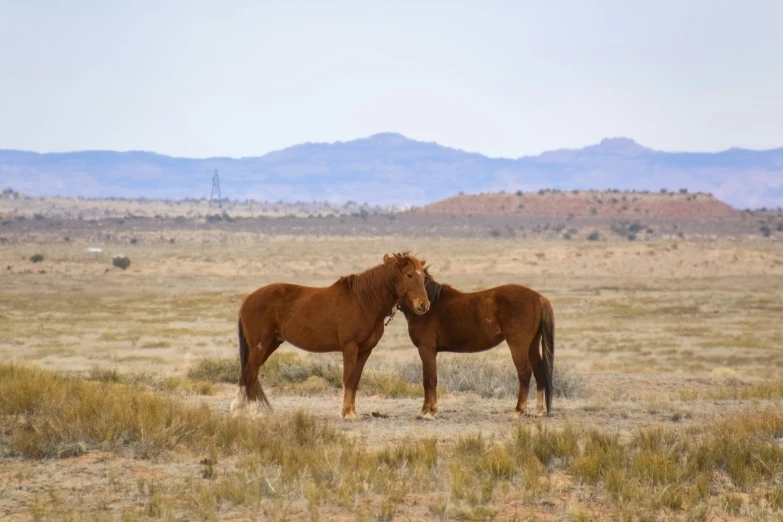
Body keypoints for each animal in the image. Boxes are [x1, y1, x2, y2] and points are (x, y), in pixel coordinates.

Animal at [230, 250, 432, 416]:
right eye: (409, 275)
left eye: (423, 276)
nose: (424, 305)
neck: (363, 302)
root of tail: (248, 299)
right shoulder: (350, 347)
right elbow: (348, 379)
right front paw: (348, 413)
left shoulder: (365, 350)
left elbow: (355, 380)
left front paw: (352, 411)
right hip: (260, 345)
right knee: (250, 372)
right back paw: (252, 411)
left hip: (271, 344)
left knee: (247, 372)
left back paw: (239, 408)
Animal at [402, 268, 556, 418]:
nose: (422, 306)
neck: (431, 303)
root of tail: (538, 297)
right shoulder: (426, 351)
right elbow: (425, 379)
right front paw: (423, 411)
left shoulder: (427, 350)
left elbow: (430, 379)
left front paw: (430, 412)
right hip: (532, 345)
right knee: (538, 371)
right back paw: (538, 410)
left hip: (518, 346)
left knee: (524, 372)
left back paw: (519, 410)